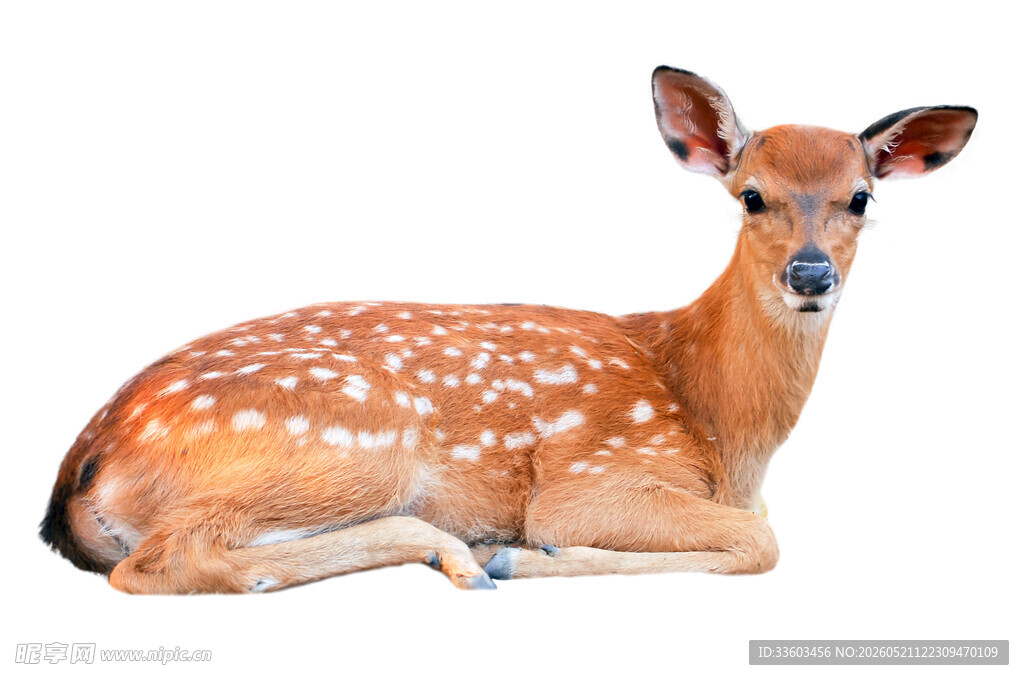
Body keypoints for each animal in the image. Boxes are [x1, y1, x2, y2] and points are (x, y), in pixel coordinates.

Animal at [40, 67, 976, 593]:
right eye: (751, 195)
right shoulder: (594, 472)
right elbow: (760, 542)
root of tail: (85, 462)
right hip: (354, 439)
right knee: (159, 563)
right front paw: (529, 556)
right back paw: (463, 554)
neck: (720, 427)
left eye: (861, 198)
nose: (810, 275)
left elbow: (761, 531)